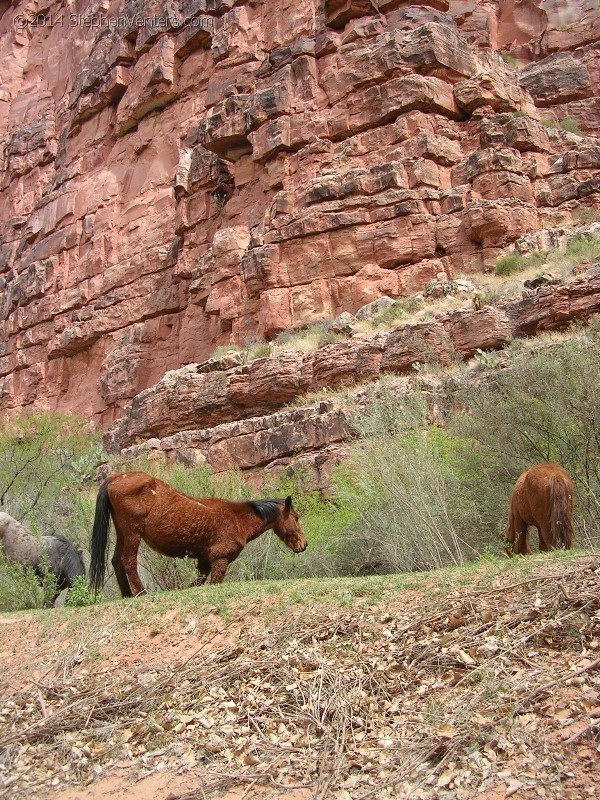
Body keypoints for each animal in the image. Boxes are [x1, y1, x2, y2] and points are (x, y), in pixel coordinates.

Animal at [90, 472, 310, 596]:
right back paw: (141, 593)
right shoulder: (220, 561)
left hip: (122, 532)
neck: (237, 519)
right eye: (296, 517)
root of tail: (116, 478)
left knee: (116, 560)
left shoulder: (203, 563)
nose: (304, 544)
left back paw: (127, 595)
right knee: (127, 561)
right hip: (133, 533)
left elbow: (195, 584)